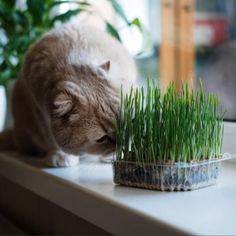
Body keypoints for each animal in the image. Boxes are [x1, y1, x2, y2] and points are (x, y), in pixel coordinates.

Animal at [0, 21, 136, 166]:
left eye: (127, 125)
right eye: (102, 139)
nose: (120, 147)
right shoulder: (40, 112)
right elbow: (51, 139)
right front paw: (61, 156)